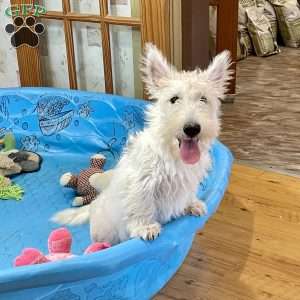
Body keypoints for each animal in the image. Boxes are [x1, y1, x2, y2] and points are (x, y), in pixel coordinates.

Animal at [52, 43, 232, 245]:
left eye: (203, 99)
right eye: (174, 99)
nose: (192, 128)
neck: (172, 154)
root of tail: (92, 206)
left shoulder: (188, 179)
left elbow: (188, 194)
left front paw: (192, 204)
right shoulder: (142, 182)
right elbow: (141, 205)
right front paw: (146, 227)